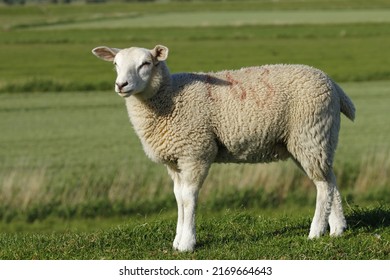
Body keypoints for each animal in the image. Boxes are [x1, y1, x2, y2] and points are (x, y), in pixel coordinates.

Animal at [92, 44, 356, 253]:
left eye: (146, 63)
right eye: (115, 64)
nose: (121, 85)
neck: (168, 97)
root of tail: (333, 84)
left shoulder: (195, 151)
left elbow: (188, 198)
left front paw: (187, 243)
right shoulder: (175, 160)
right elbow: (178, 197)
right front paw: (177, 240)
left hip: (310, 134)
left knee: (323, 186)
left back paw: (315, 231)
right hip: (313, 141)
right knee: (330, 179)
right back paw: (337, 228)